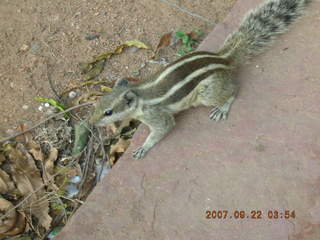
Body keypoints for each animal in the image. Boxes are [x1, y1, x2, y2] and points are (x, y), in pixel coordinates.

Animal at [90, 0, 312, 158]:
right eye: (98, 105)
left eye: (108, 112)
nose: (92, 122)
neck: (139, 94)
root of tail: (224, 59)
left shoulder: (157, 115)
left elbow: (163, 129)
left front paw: (144, 147)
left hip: (207, 93)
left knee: (234, 89)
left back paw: (223, 107)